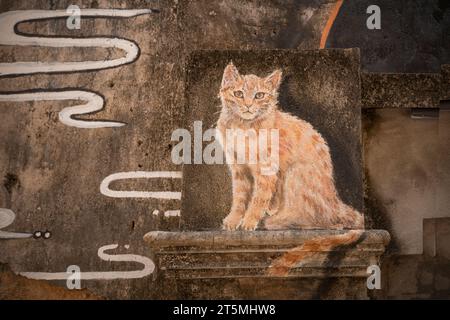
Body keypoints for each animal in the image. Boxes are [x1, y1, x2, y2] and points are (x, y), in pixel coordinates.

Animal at [216, 62, 364, 231]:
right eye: (238, 94)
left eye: (259, 95)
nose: (248, 105)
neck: (243, 127)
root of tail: (334, 203)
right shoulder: (239, 168)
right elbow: (239, 198)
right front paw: (234, 219)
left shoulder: (266, 171)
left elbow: (259, 198)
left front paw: (250, 221)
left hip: (296, 173)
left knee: (317, 220)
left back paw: (276, 221)